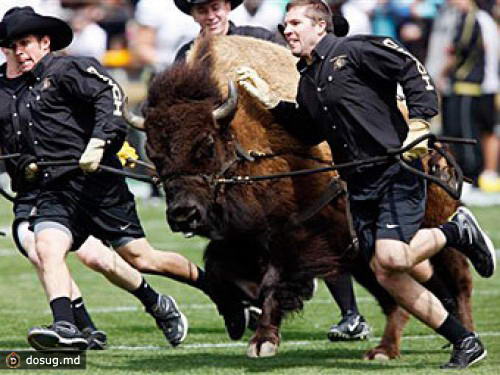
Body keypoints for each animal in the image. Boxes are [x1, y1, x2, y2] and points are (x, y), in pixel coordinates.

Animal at [132, 36, 472, 362]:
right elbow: (219, 274)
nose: (183, 214)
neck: (248, 147)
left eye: (207, 144)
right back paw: (385, 350)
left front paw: (262, 341)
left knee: (457, 276)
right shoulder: (239, 240)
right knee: (398, 294)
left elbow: (273, 283)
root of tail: (436, 144)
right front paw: (237, 317)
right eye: (153, 153)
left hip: (426, 223)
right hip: (364, 251)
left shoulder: (297, 238)